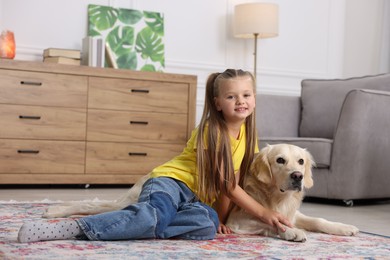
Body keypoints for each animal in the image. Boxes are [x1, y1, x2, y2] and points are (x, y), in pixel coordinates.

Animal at [225, 144, 360, 242]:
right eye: (280, 160)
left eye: (301, 161)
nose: (298, 176)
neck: (279, 198)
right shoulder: (236, 221)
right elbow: (272, 220)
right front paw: (293, 231)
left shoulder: (293, 213)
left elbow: (318, 220)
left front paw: (343, 227)